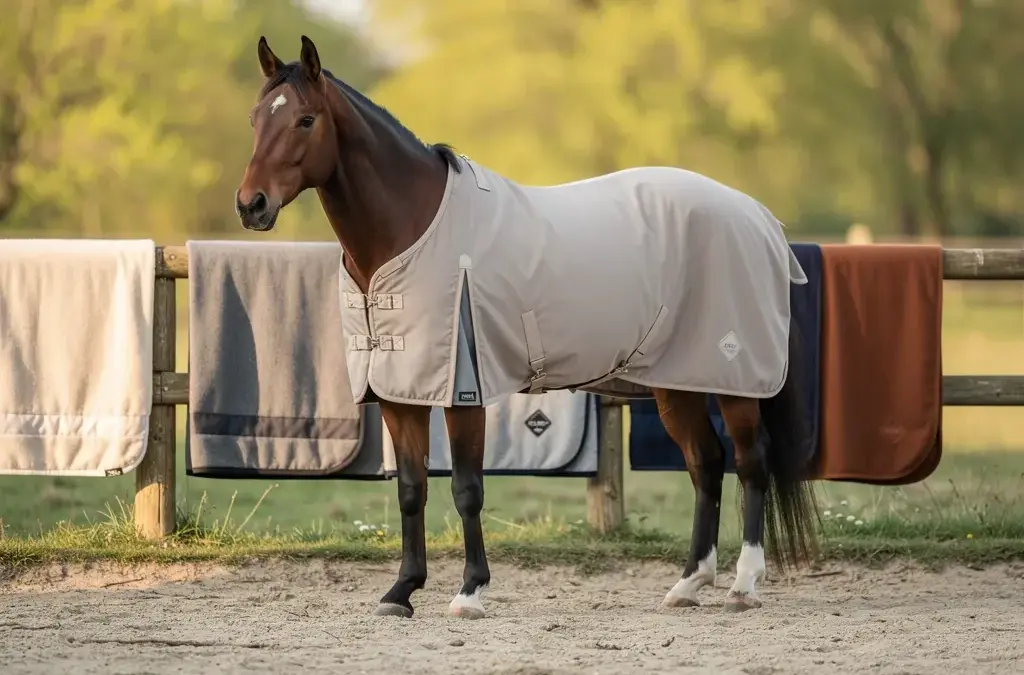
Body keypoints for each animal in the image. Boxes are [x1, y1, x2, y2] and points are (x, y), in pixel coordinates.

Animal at [235, 35, 821, 619]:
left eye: (305, 120)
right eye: (256, 118)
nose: (251, 205)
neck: (413, 230)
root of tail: (759, 217)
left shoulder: (463, 392)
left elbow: (467, 489)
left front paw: (470, 591)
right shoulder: (401, 391)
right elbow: (411, 489)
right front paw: (401, 591)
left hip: (734, 379)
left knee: (751, 462)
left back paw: (743, 584)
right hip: (677, 382)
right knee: (706, 463)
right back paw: (688, 584)